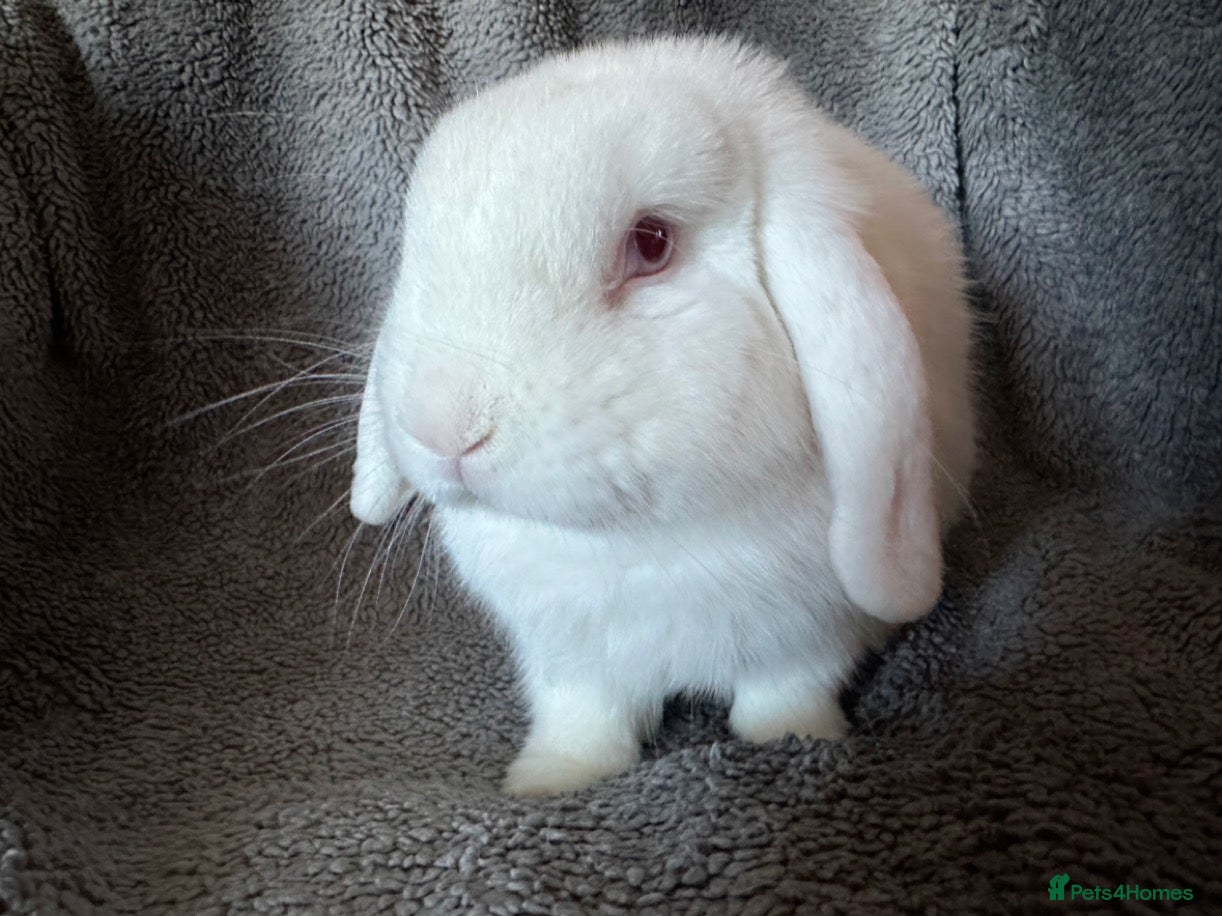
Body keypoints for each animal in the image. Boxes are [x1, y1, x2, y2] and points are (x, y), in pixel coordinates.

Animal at [349, 35, 977, 796]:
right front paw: (550, 779)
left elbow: (786, 693)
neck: (634, 541)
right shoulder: (566, 655)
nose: (441, 426)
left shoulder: (807, 635)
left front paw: (792, 743)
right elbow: (581, 716)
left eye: (651, 243)